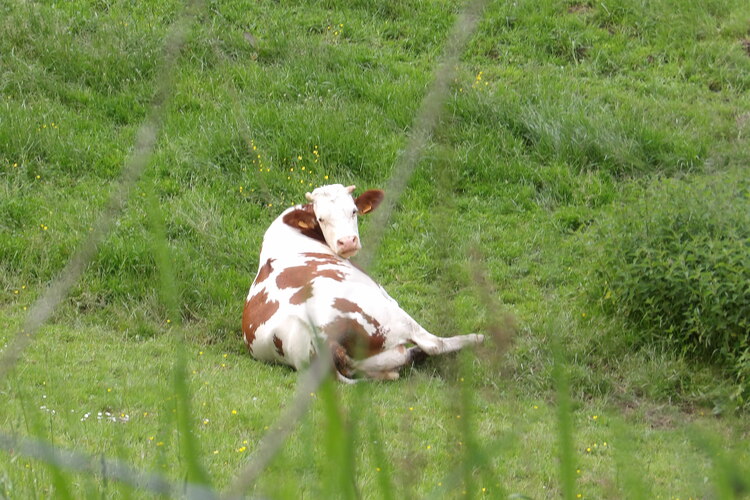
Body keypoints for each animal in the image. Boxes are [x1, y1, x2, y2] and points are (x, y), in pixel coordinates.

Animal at [242, 184, 488, 382]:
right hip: (386, 311)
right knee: (432, 343)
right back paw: (475, 338)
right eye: (321, 218)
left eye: (354, 211)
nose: (347, 241)